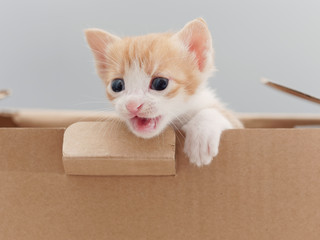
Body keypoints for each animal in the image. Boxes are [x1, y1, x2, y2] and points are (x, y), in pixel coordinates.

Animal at [84, 18, 242, 167]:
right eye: (117, 85)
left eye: (160, 83)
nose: (132, 105)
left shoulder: (235, 124)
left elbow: (215, 113)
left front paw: (201, 136)